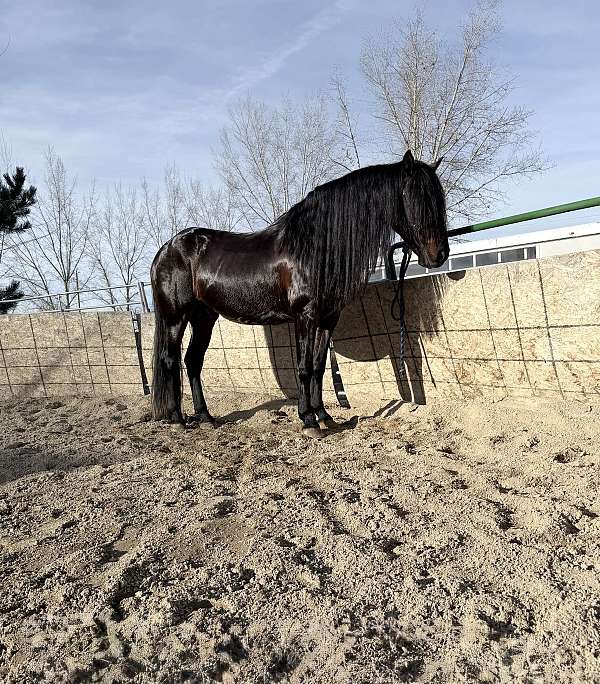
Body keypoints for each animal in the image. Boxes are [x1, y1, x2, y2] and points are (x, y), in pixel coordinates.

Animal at [150, 150, 448, 434]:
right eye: (414, 198)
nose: (440, 255)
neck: (314, 246)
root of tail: (165, 249)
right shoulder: (304, 317)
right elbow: (303, 367)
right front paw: (308, 420)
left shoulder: (328, 318)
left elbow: (318, 366)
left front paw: (324, 416)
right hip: (176, 317)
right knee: (170, 360)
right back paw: (177, 419)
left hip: (204, 317)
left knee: (192, 361)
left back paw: (205, 418)